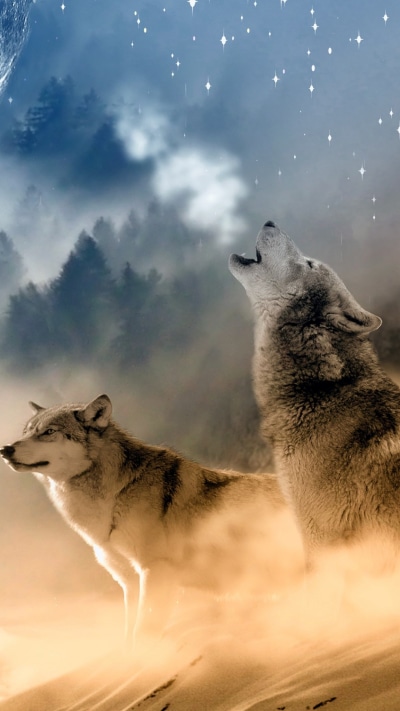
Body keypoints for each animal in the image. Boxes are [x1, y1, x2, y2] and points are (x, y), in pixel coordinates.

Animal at [0, 394, 303, 647]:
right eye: (27, 432)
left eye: (48, 432)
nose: (5, 449)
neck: (114, 496)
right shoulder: (129, 582)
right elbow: (129, 635)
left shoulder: (155, 572)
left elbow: (143, 633)